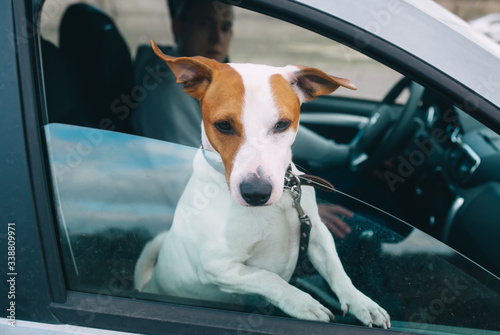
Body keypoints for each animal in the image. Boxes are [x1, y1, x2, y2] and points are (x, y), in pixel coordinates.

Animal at [135, 40, 392, 330]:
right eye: (223, 125)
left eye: (282, 124)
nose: (256, 193)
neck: (280, 204)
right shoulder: (218, 267)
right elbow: (268, 279)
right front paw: (302, 303)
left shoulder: (316, 233)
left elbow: (338, 271)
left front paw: (362, 303)